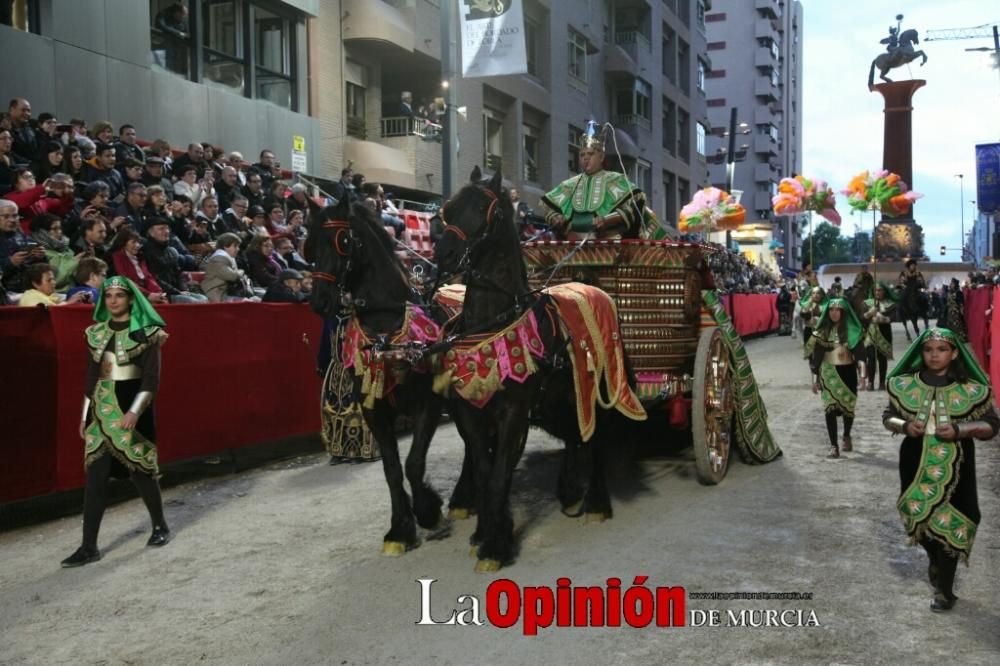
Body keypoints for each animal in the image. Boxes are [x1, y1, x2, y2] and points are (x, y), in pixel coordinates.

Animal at [306, 198, 458, 556]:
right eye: (311, 244)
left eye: (342, 241)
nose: (319, 301)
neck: (385, 328)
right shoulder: (373, 408)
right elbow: (391, 468)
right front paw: (399, 529)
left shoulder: (428, 404)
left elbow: (414, 463)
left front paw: (428, 511)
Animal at [432, 167, 636, 572]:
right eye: (449, 208)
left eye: (486, 209)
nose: (443, 252)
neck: (493, 322)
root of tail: (593, 284)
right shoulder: (472, 411)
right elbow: (484, 474)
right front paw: (486, 532)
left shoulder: (513, 411)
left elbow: (499, 478)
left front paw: (495, 548)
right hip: (566, 395)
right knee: (576, 435)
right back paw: (570, 491)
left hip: (598, 390)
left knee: (597, 440)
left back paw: (597, 502)